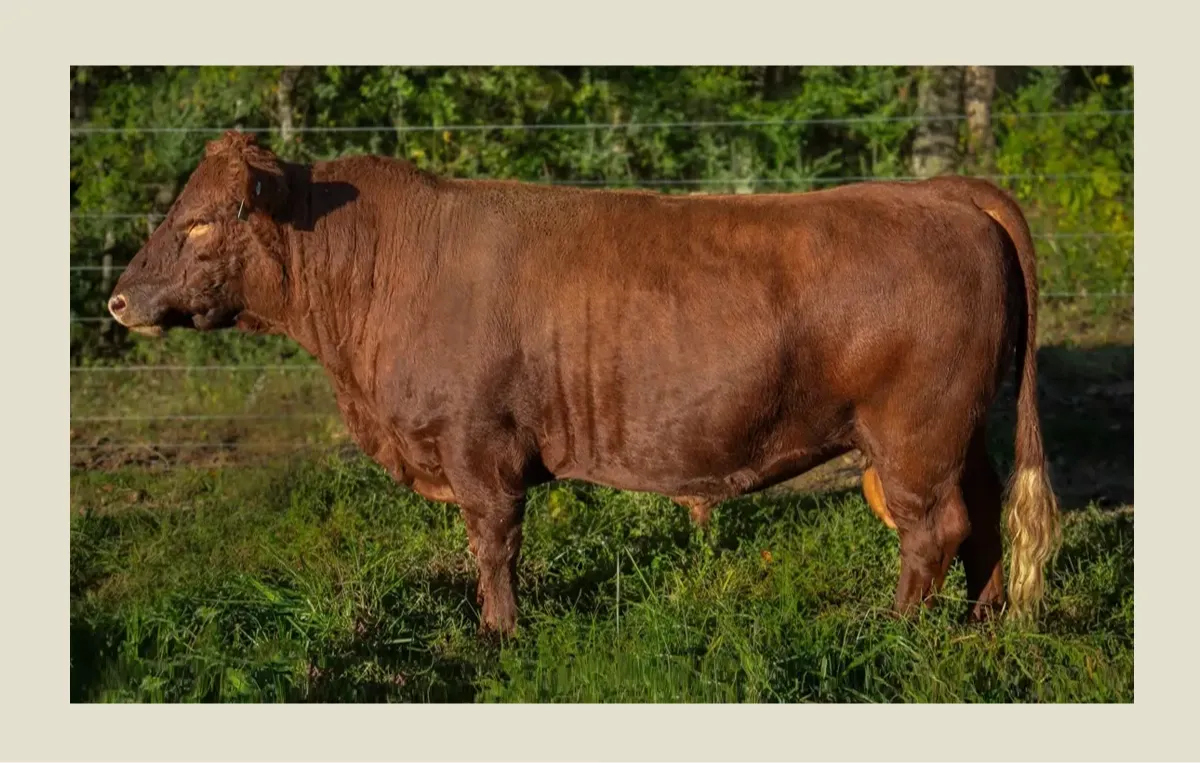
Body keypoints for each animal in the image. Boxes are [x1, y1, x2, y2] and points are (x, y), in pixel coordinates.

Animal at [106, 131, 1062, 635]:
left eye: (201, 222)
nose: (118, 299)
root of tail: (942, 192)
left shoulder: (478, 446)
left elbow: (493, 544)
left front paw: (500, 632)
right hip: (957, 428)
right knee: (980, 515)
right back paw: (980, 623)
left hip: (913, 432)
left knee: (934, 528)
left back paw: (892, 629)